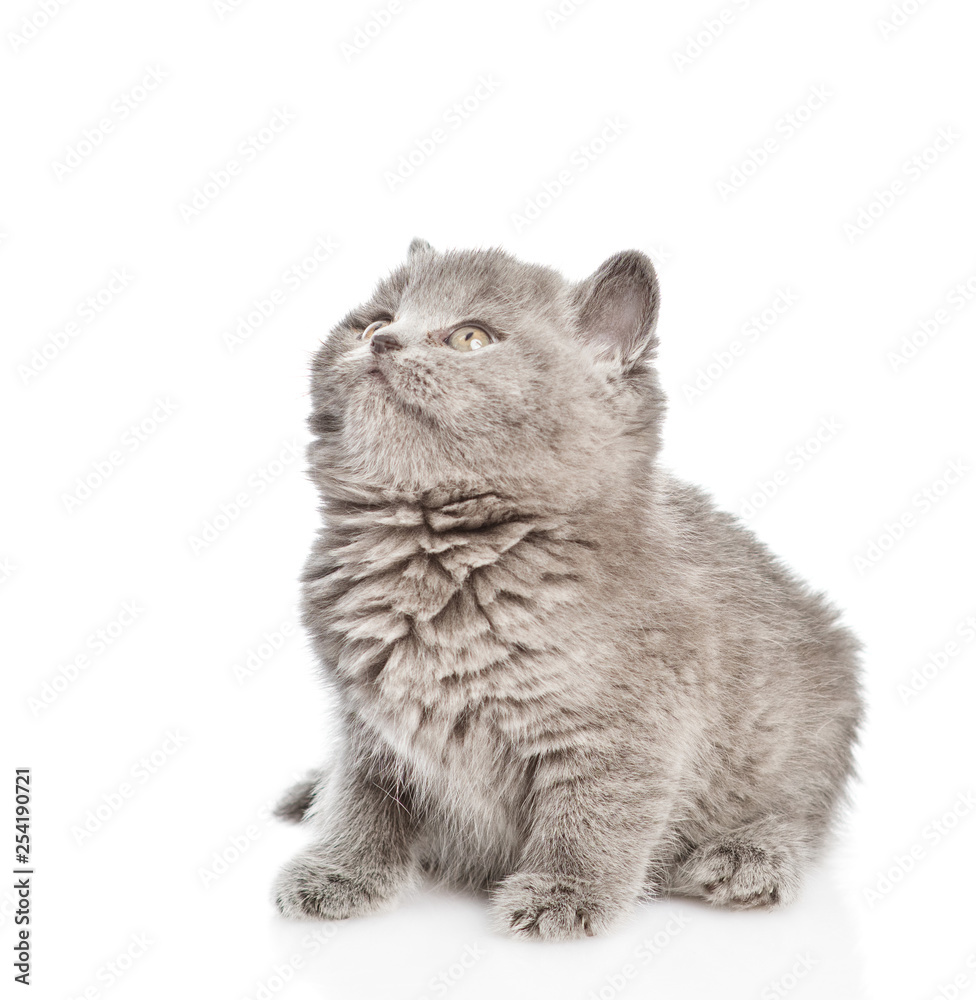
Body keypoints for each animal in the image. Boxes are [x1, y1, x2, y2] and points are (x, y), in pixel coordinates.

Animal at [272, 240, 860, 936]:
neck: (439, 563)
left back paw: (752, 856)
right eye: (373, 322)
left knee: (798, 812)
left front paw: (565, 892)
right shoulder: (369, 720)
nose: (384, 341)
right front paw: (341, 871)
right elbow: (362, 798)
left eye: (471, 338)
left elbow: (595, 811)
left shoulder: (626, 728)